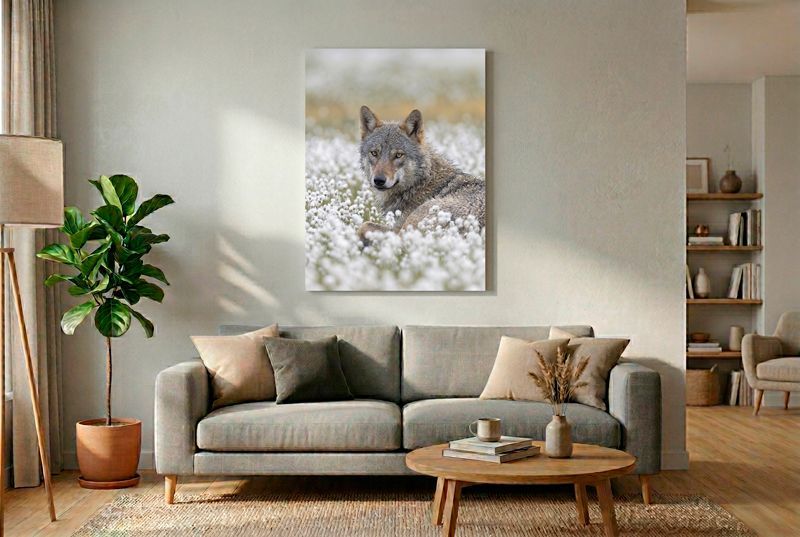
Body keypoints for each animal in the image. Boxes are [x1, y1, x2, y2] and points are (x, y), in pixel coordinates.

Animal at [357, 106, 485, 243]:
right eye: (374, 153)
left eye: (398, 155)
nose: (379, 180)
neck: (419, 184)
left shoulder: (397, 226)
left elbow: (363, 226)